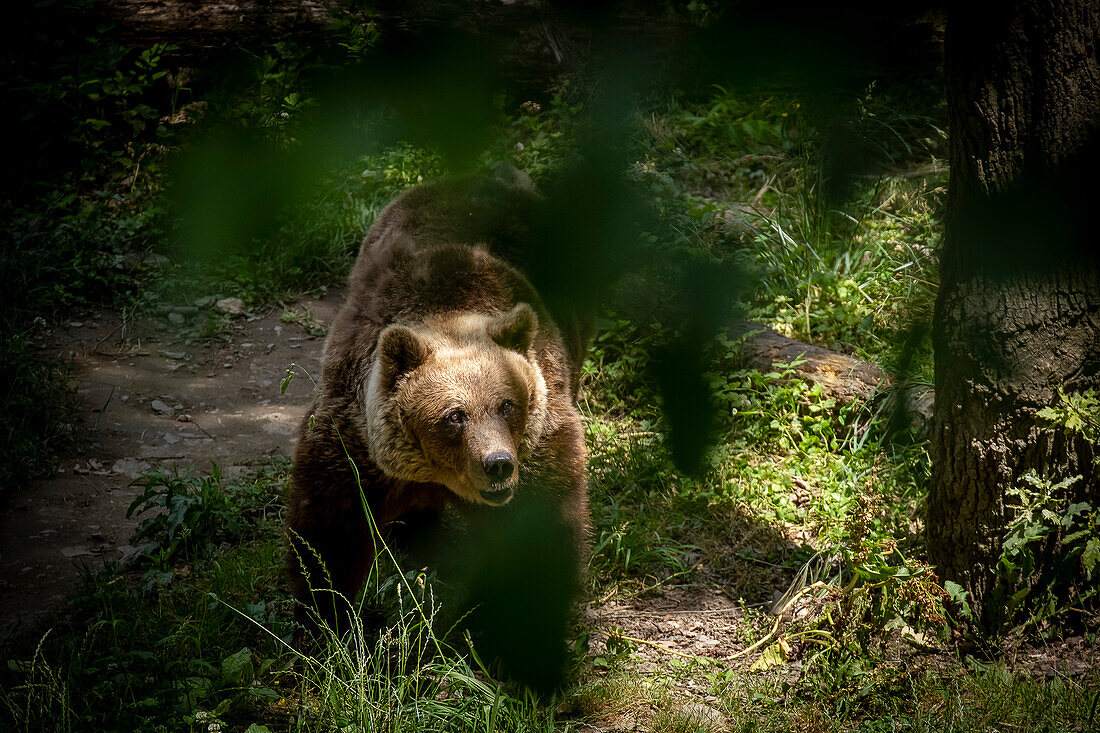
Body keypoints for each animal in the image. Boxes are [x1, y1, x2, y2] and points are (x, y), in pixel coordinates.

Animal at [288, 176, 589, 655]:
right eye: (455, 416)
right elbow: (328, 529)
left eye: (507, 404)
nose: (498, 464)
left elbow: (536, 539)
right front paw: (327, 620)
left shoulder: (540, 448)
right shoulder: (356, 444)